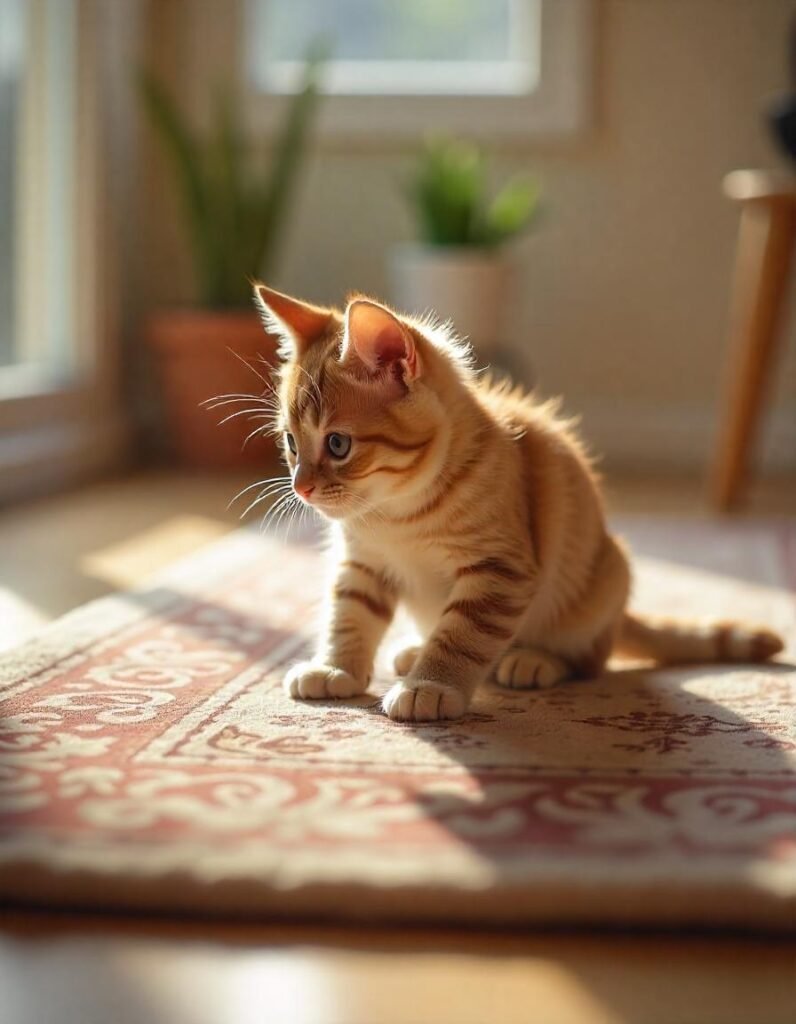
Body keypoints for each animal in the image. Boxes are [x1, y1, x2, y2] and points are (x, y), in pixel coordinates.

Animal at [253, 284, 782, 724]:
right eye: (291, 444)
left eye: (338, 444)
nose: (301, 487)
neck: (398, 514)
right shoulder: (363, 564)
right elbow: (349, 616)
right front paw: (336, 668)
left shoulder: (500, 570)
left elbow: (460, 635)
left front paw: (431, 686)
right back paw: (413, 647)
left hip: (603, 577)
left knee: (590, 659)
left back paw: (533, 660)